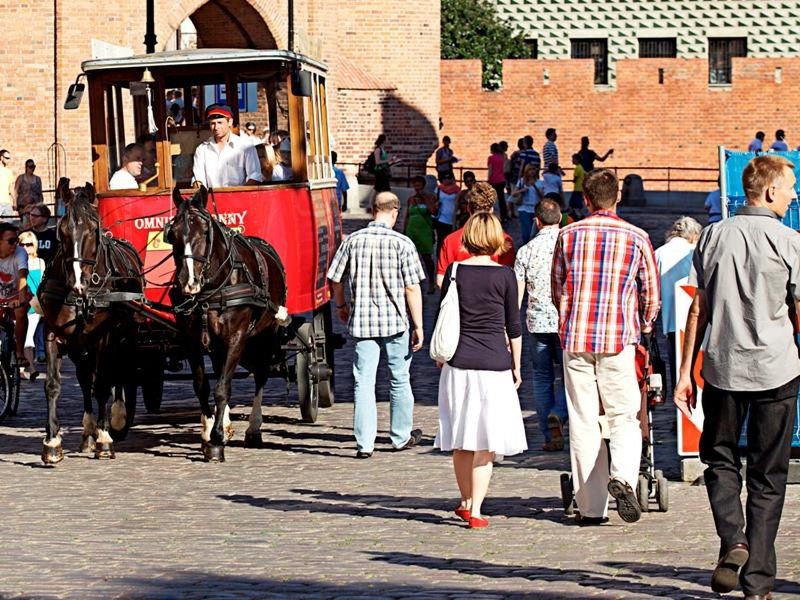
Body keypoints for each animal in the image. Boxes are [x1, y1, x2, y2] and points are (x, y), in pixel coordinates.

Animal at [39, 179, 144, 464]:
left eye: (92, 229)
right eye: (62, 230)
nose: (78, 283)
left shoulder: (104, 337)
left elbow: (104, 384)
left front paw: (105, 438)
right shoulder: (53, 334)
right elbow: (53, 385)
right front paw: (52, 442)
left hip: (122, 336)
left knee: (118, 372)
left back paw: (115, 417)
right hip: (80, 346)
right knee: (86, 379)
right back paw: (88, 432)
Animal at [166, 185, 288, 462]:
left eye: (204, 230)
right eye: (172, 232)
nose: (188, 282)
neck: (211, 289)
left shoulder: (237, 338)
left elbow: (222, 387)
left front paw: (216, 439)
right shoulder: (191, 341)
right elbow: (202, 385)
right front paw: (209, 431)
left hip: (267, 334)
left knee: (261, 374)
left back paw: (253, 429)